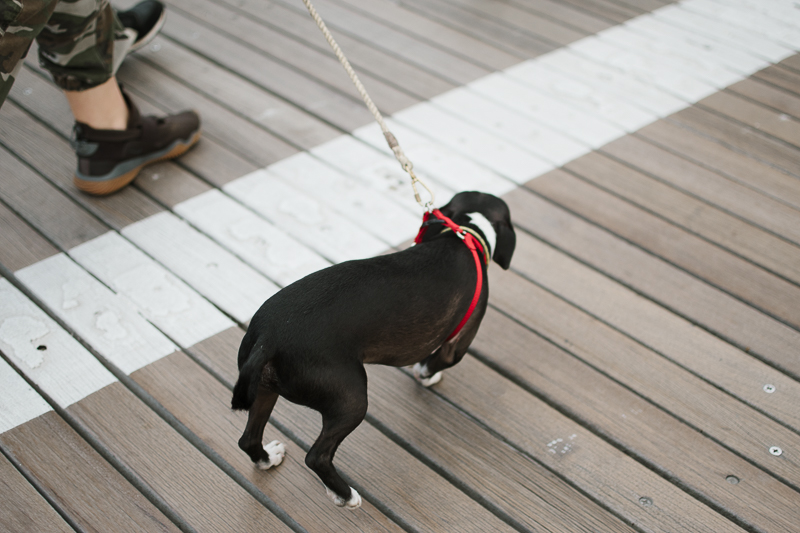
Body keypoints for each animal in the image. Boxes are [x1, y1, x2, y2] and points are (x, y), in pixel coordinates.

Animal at [231, 190, 520, 508]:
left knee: (248, 439)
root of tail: (268, 338)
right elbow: (433, 362)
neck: (464, 233)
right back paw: (345, 495)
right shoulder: (455, 347)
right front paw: (426, 375)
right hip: (351, 399)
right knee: (317, 457)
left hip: (264, 389)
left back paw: (268, 460)